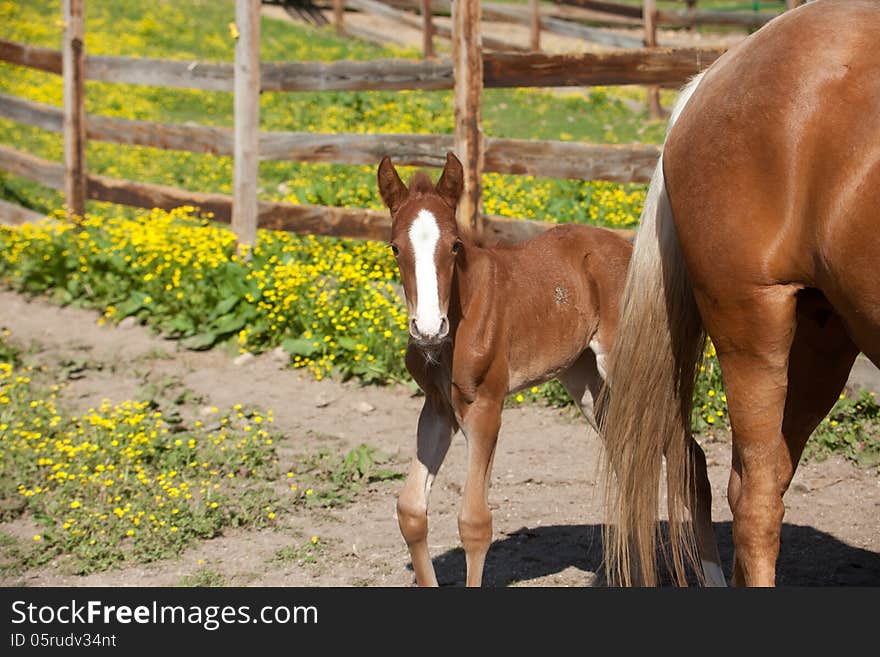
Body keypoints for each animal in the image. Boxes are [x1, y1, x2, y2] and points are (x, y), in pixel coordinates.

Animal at [376, 152, 720, 584]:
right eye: (394, 248)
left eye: (454, 245)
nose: (426, 328)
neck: (460, 310)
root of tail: (636, 257)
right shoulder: (439, 408)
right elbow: (411, 511)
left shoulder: (486, 406)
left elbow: (474, 522)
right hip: (590, 385)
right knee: (632, 466)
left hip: (632, 372)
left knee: (689, 462)